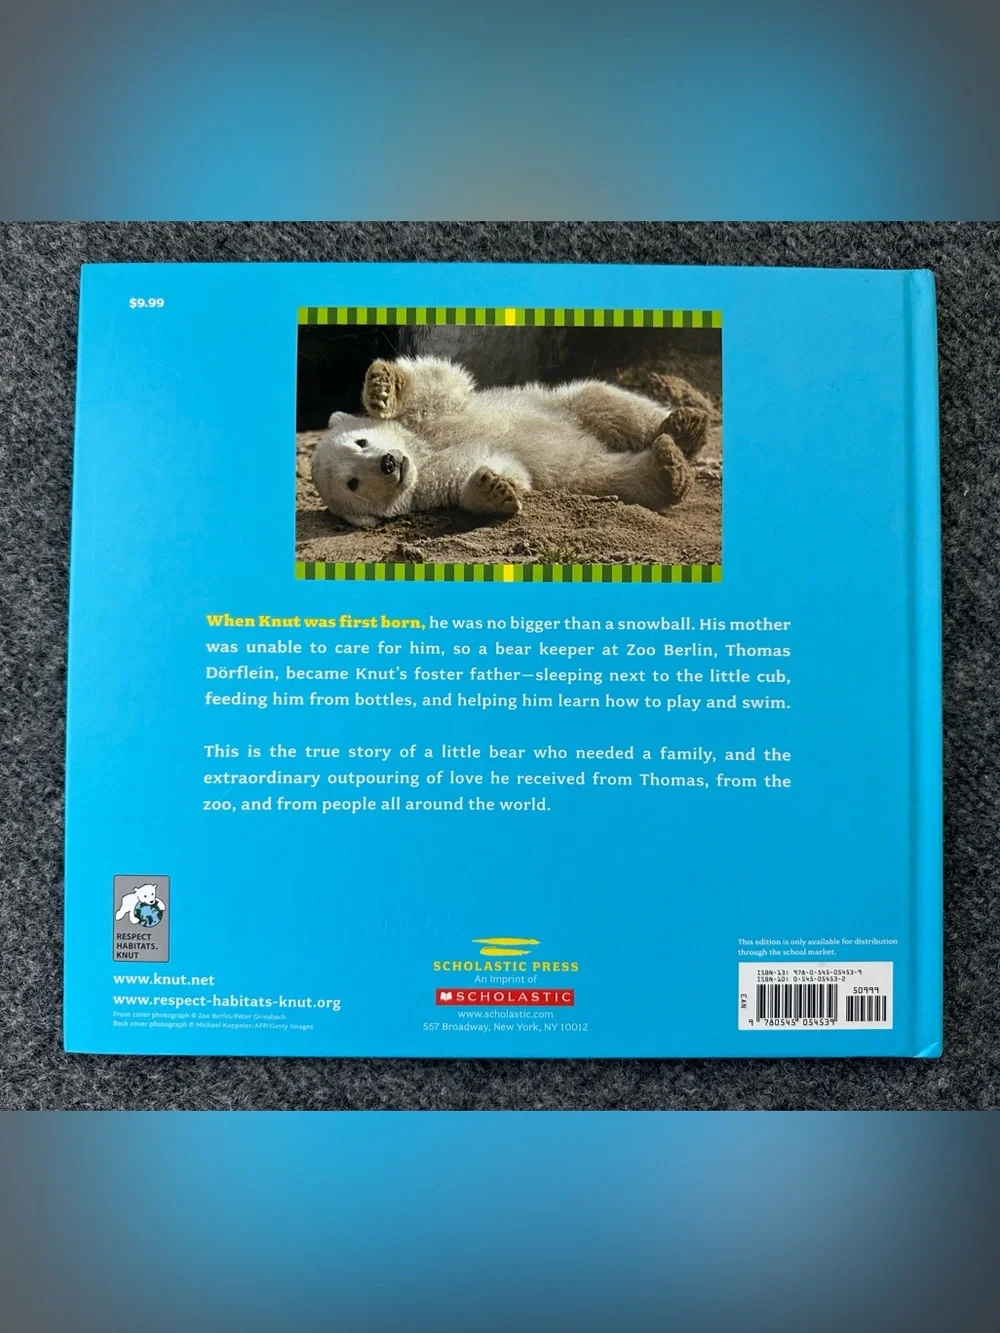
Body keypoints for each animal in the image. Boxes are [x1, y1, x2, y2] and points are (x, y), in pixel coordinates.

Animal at [310, 355, 709, 529]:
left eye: (361, 441)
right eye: (353, 483)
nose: (389, 463)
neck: (423, 453)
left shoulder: (431, 419)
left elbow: (437, 383)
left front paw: (382, 387)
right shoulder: (432, 480)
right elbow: (497, 469)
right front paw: (492, 488)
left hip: (561, 405)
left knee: (604, 400)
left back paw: (686, 426)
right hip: (579, 473)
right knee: (617, 478)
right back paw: (669, 466)